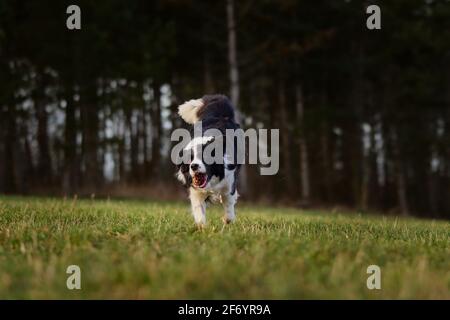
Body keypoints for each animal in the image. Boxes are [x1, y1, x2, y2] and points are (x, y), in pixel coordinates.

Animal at [175, 94, 241, 226]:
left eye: (205, 157)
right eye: (189, 161)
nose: (194, 166)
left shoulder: (229, 182)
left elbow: (229, 205)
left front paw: (227, 220)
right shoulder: (196, 191)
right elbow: (199, 209)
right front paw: (202, 227)